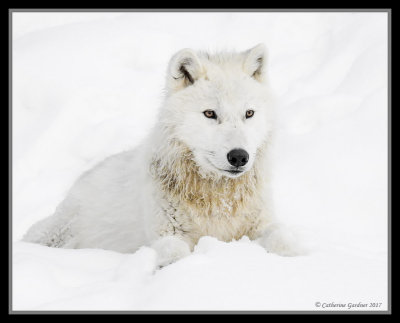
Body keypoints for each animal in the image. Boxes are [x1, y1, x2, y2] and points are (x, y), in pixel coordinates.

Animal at [23, 44, 302, 268]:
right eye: (210, 114)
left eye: (249, 114)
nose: (239, 157)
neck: (217, 199)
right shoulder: (167, 235)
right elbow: (175, 256)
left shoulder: (261, 224)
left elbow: (282, 238)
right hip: (57, 232)